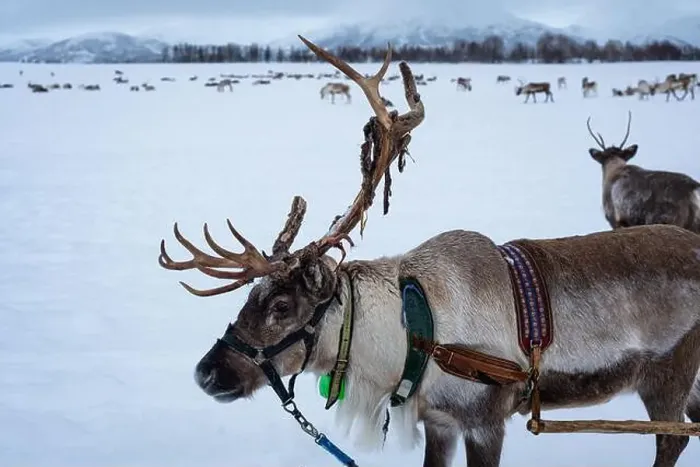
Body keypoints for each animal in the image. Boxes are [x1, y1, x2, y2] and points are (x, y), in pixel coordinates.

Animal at [157, 36, 700, 467]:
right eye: (249, 297)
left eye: (282, 306)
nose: (206, 373)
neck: (411, 332)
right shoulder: (439, 421)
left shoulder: (485, 419)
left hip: (667, 378)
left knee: (672, 442)